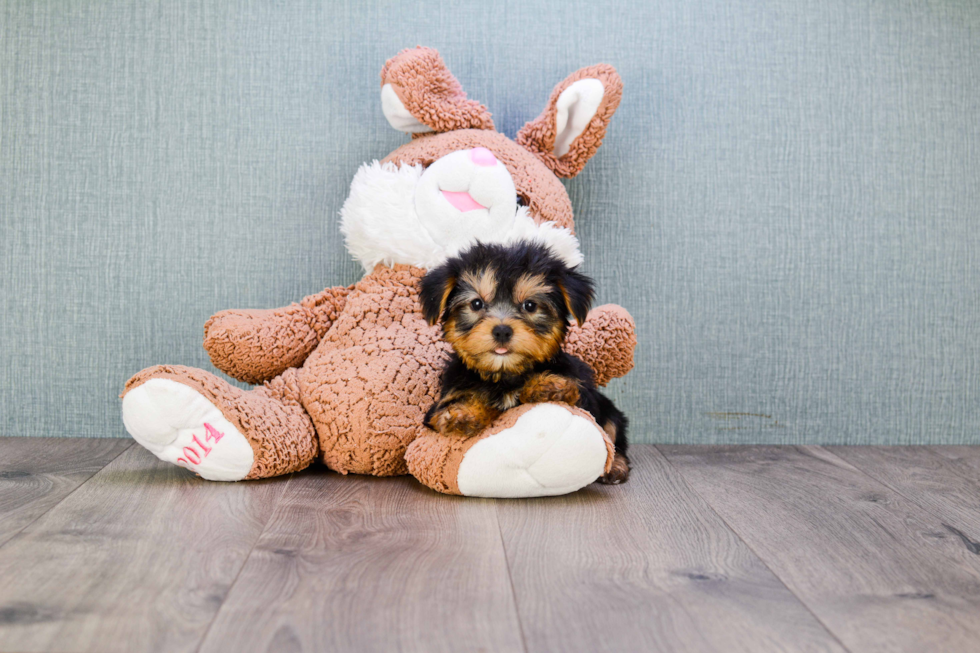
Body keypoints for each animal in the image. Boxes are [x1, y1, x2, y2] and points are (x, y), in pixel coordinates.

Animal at [418, 241, 632, 484]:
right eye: (476, 303)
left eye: (530, 305)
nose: (502, 330)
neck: (505, 373)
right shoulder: (443, 401)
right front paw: (463, 413)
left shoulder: (584, 394)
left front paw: (549, 386)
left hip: (609, 409)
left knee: (613, 432)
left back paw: (615, 467)